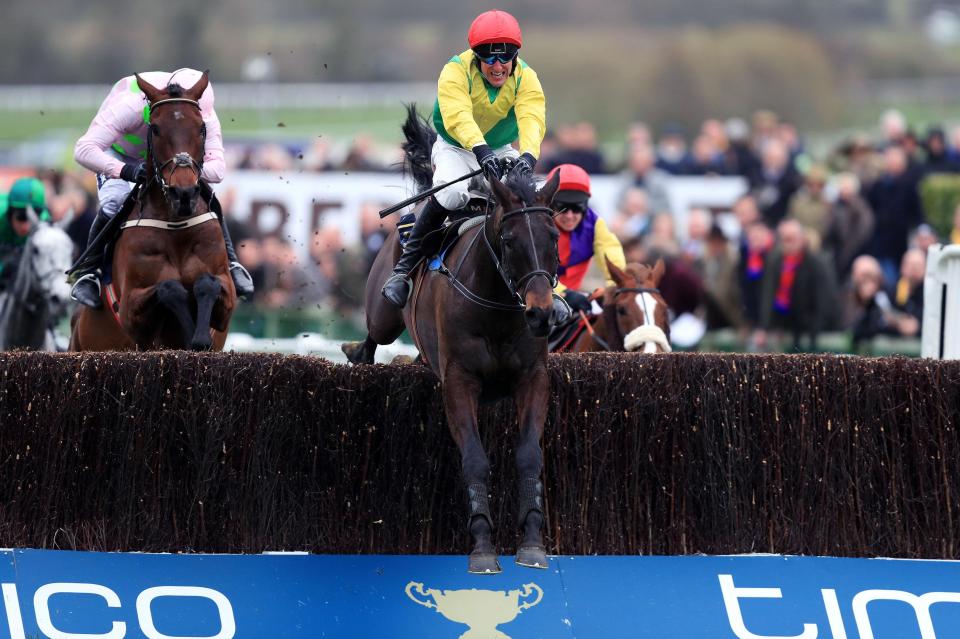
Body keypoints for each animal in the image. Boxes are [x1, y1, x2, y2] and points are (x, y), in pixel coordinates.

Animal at [70, 75, 235, 356]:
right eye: (156, 129)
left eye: (202, 128)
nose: (183, 193)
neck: (176, 225)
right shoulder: (130, 311)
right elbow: (169, 287)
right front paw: (192, 334)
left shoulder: (226, 298)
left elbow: (207, 282)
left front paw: (200, 337)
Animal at [344, 107, 564, 572]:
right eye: (509, 240)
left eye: (554, 237)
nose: (539, 312)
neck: (498, 308)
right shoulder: (460, 381)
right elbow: (475, 461)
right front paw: (482, 547)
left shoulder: (532, 378)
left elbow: (529, 456)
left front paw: (532, 543)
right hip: (384, 312)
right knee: (374, 332)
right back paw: (360, 350)